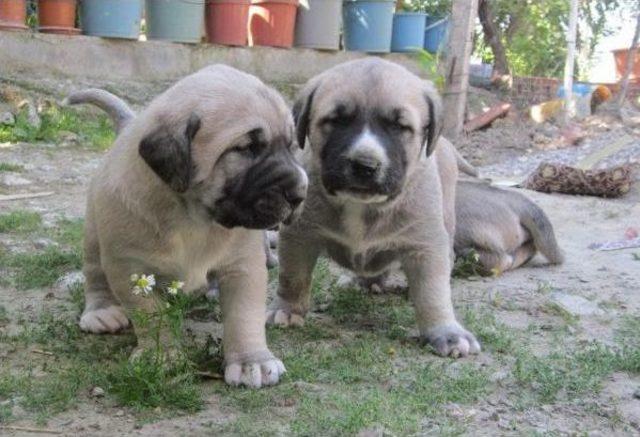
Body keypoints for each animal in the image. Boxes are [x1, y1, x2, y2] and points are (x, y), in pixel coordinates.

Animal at [266, 58, 480, 356]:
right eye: (336, 121)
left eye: (399, 126)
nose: (365, 165)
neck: (360, 205)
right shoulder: (300, 235)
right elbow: (292, 277)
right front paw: (286, 309)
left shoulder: (425, 245)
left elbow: (433, 292)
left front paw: (446, 331)